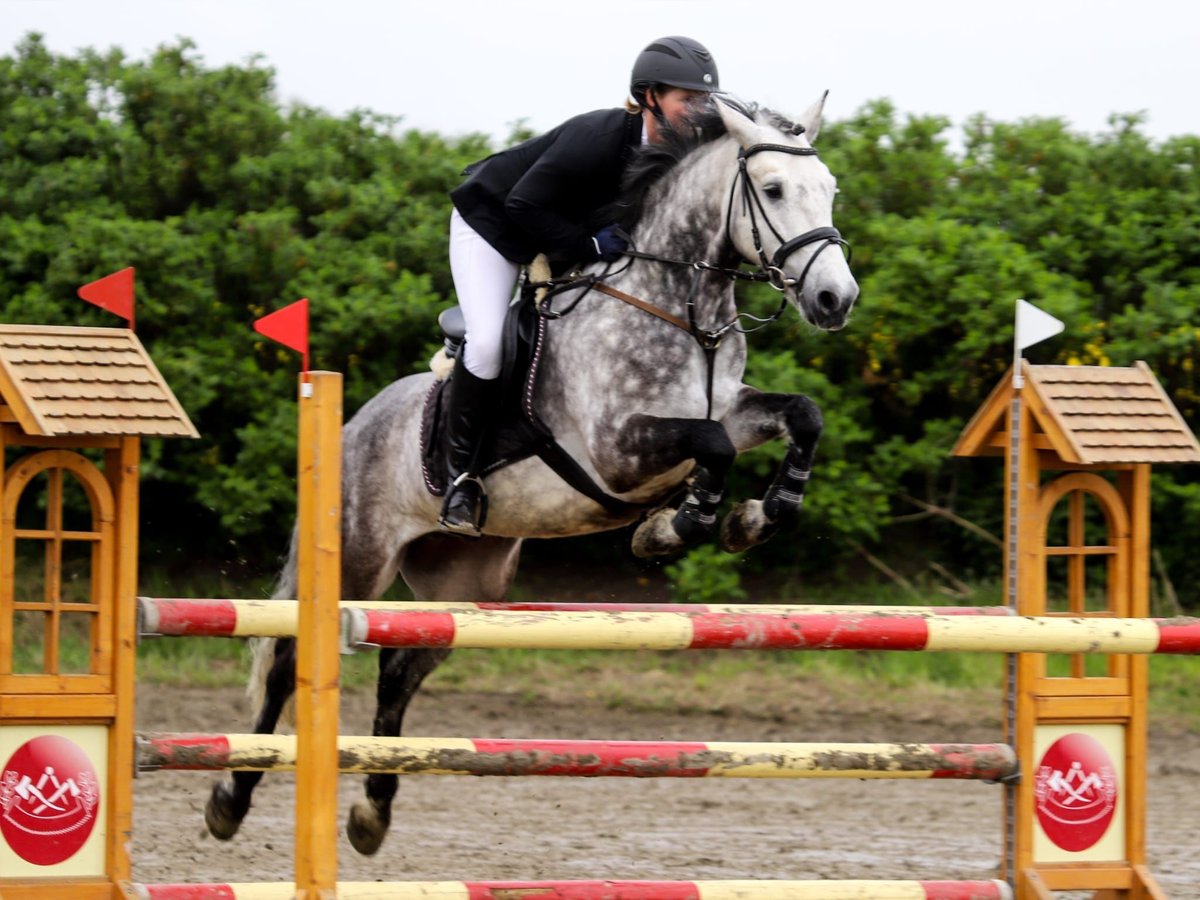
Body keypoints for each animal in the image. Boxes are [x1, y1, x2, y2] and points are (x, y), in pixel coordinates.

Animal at [208, 95, 864, 854]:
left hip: (465, 583)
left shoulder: (730, 411)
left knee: (399, 670)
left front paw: (753, 517)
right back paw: (230, 799)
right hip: (355, 557)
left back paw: (372, 815)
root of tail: (349, 425)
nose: (835, 299)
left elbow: (802, 416)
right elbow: (710, 450)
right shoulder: (617, 447)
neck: (681, 311)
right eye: (774, 190)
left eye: (831, 190)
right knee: (291, 661)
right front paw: (679, 526)